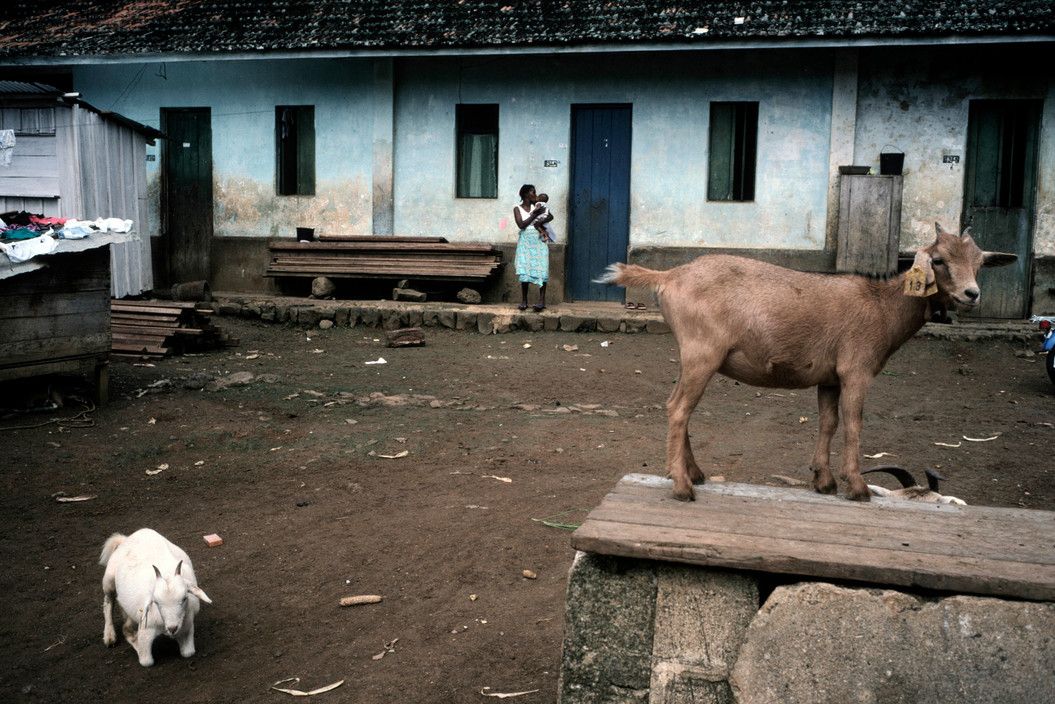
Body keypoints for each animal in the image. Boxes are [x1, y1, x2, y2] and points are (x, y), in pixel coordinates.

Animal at [100, 527, 212, 667]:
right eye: (156, 602)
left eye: (184, 598)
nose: (172, 628)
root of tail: (126, 539)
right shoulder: (146, 630)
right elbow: (146, 661)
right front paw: (135, 641)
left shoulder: (186, 625)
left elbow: (188, 653)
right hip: (109, 579)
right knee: (108, 601)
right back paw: (109, 636)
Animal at [595, 222, 1012, 504]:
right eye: (938, 260)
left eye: (979, 262)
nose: (971, 294)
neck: (882, 307)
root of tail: (670, 275)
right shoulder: (856, 369)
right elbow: (853, 423)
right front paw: (857, 487)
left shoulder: (829, 377)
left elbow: (828, 422)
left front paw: (823, 481)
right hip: (702, 351)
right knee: (679, 409)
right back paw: (681, 485)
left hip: (691, 355)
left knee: (676, 405)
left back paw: (694, 473)